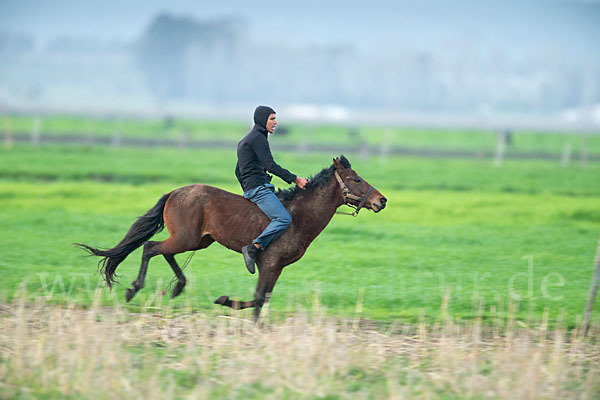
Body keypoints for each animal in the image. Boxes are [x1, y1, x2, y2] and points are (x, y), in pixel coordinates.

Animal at [76, 155, 384, 322]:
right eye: (356, 179)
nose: (382, 200)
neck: (298, 216)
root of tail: (175, 192)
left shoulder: (276, 266)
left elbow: (262, 299)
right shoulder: (269, 262)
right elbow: (258, 298)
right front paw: (226, 302)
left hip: (197, 240)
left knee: (164, 251)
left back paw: (178, 287)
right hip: (187, 238)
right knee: (151, 247)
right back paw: (134, 288)